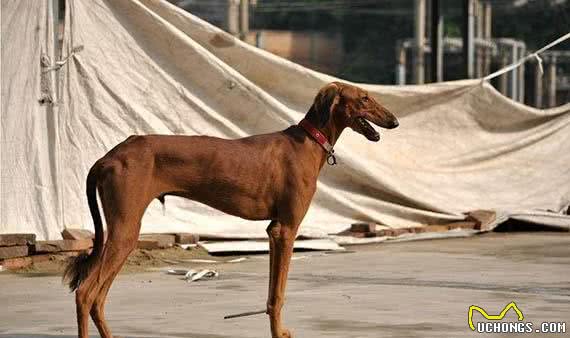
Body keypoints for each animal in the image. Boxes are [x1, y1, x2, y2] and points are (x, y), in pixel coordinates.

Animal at [64, 82, 398, 338]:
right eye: (364, 98)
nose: (395, 122)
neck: (307, 143)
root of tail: (108, 156)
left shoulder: (273, 230)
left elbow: (271, 296)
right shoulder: (286, 230)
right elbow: (278, 296)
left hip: (120, 234)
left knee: (97, 299)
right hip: (125, 232)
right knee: (86, 294)